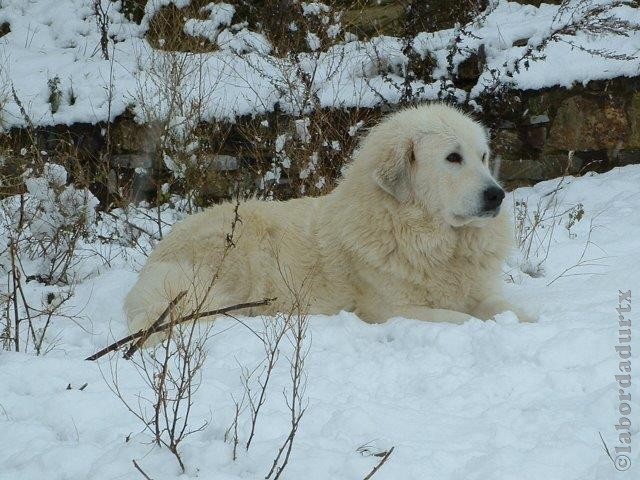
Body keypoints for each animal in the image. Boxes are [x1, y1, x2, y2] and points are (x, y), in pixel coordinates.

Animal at [124, 103, 524, 334]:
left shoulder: (482, 290)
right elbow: (463, 319)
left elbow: (505, 308)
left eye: (483, 157)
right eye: (453, 158)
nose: (496, 195)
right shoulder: (390, 309)